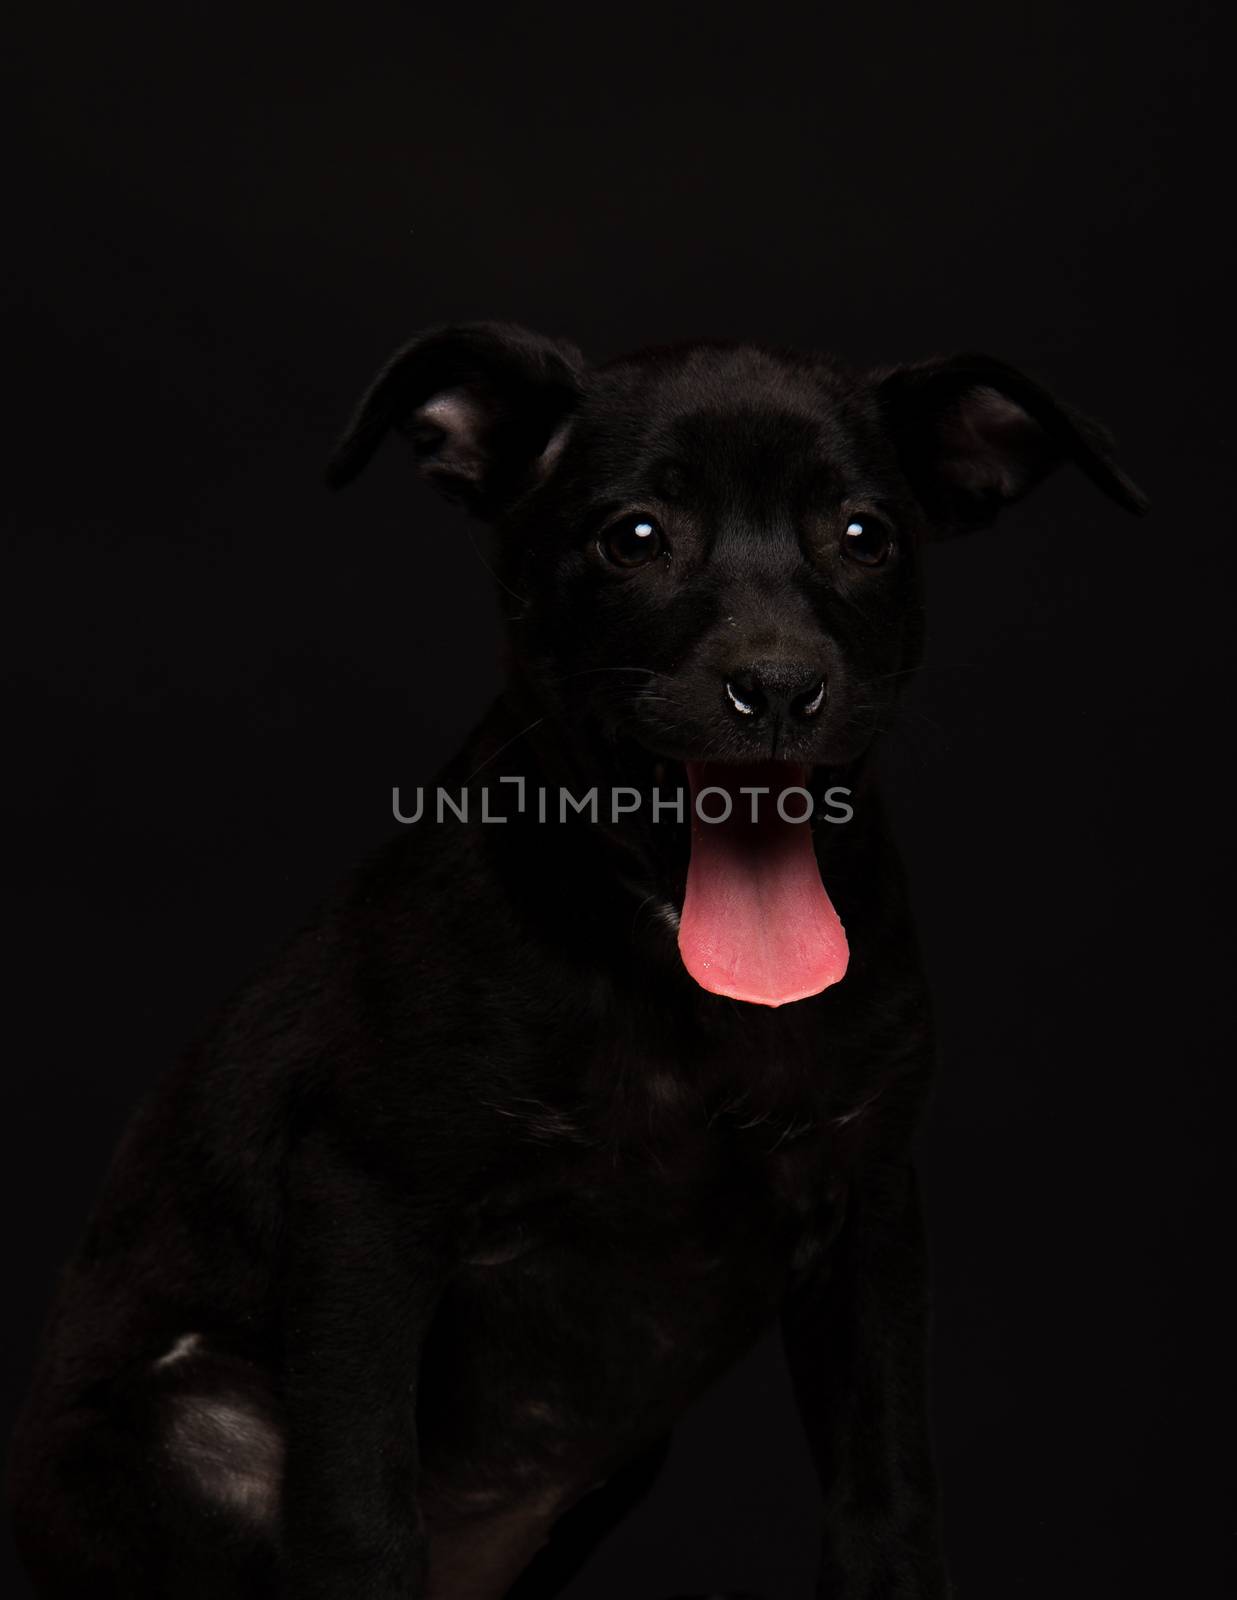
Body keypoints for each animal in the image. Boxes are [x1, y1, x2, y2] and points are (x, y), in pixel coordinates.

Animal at [12, 328, 1145, 1600]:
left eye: (862, 534)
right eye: (634, 536)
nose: (777, 687)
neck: (694, 990)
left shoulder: (871, 1214)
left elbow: (885, 1501)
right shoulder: (366, 1202)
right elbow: (359, 1515)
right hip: (197, 1424)